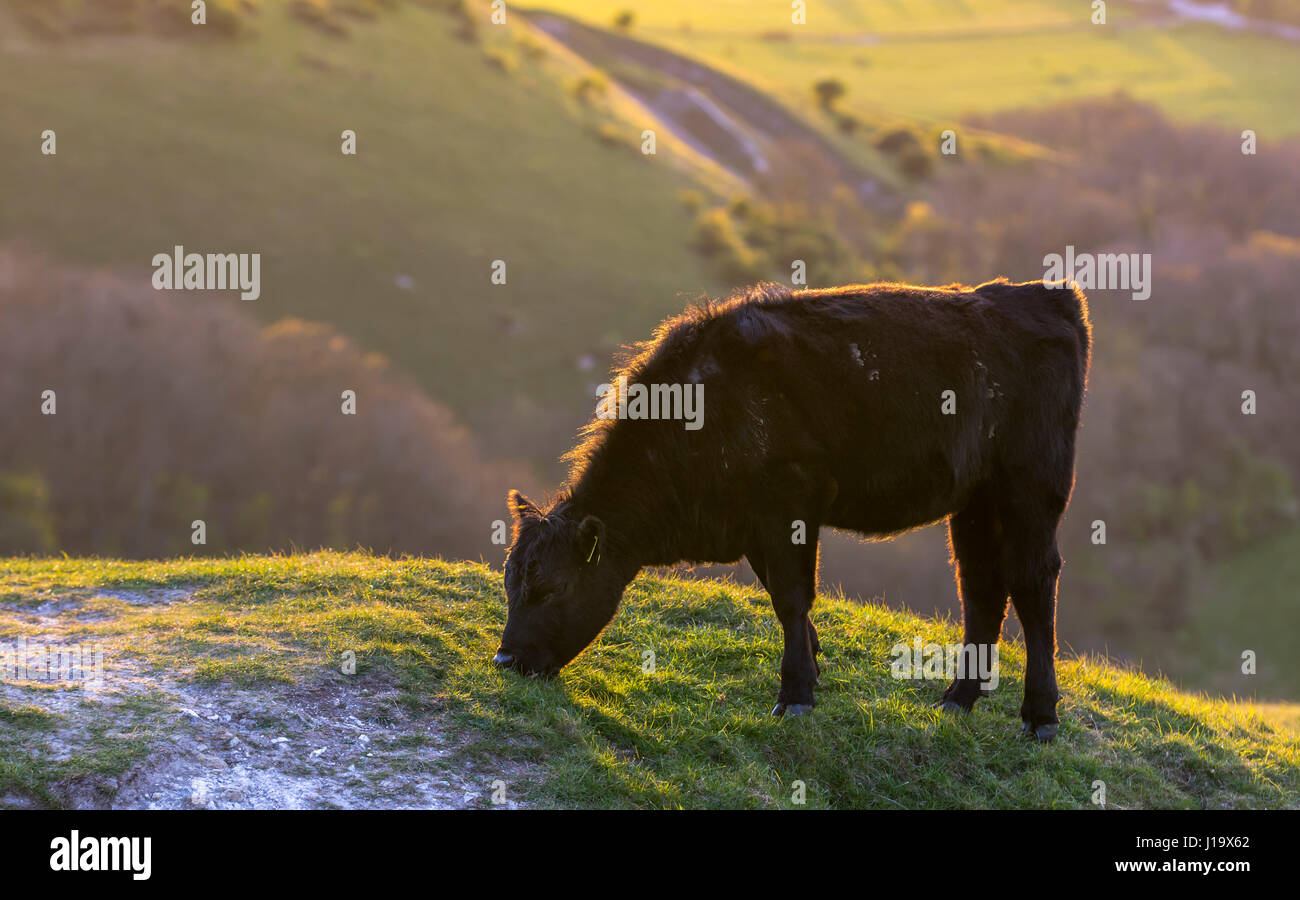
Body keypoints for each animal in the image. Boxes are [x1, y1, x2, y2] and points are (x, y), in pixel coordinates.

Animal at [493, 278, 1086, 743]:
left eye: (553, 588)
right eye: (510, 581)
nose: (505, 661)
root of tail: (1043, 294)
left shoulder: (789, 505)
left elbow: (792, 597)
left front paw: (796, 694)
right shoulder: (756, 524)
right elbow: (781, 596)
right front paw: (814, 671)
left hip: (1032, 488)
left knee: (1033, 583)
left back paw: (1040, 716)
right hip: (975, 502)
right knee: (981, 587)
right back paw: (957, 698)